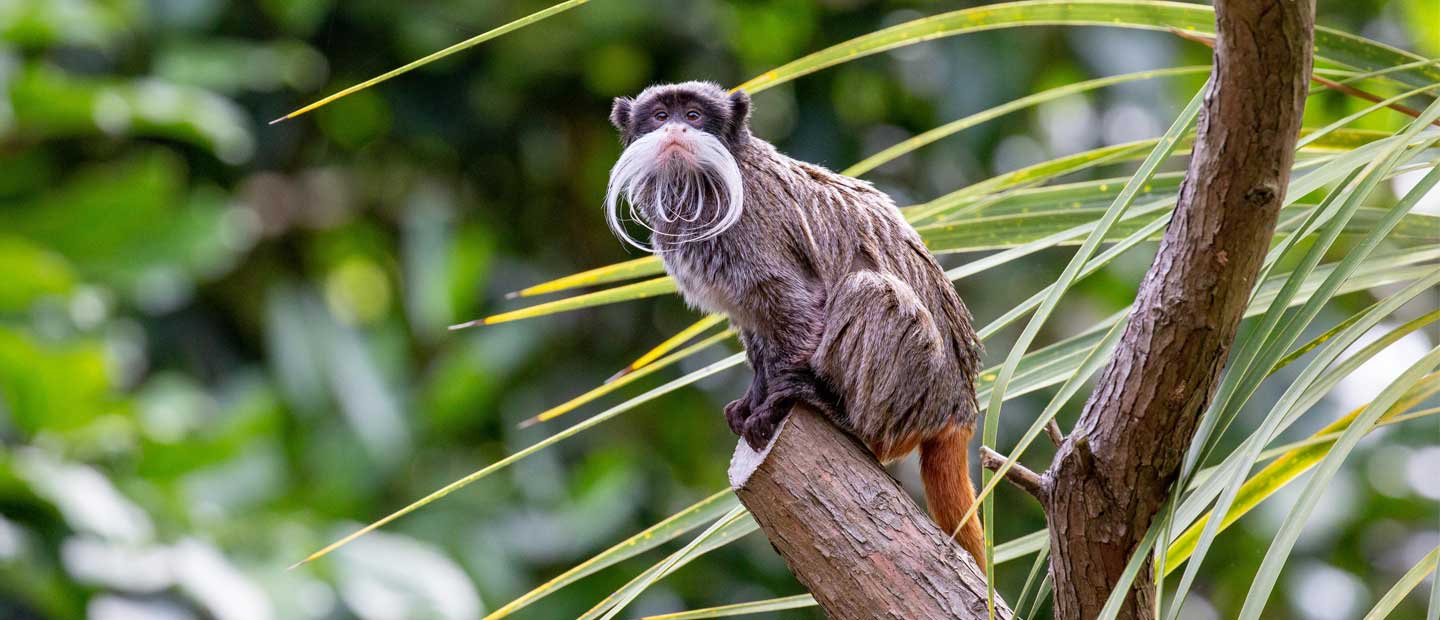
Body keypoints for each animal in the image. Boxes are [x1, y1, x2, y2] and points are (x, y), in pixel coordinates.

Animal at [605, 81, 986, 568]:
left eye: (693, 115)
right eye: (658, 117)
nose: (674, 130)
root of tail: (959, 407)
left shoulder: (758, 234)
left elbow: (800, 309)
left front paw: (774, 407)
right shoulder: (739, 298)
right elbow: (757, 332)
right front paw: (754, 398)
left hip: (919, 387)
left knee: (867, 289)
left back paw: (845, 417)